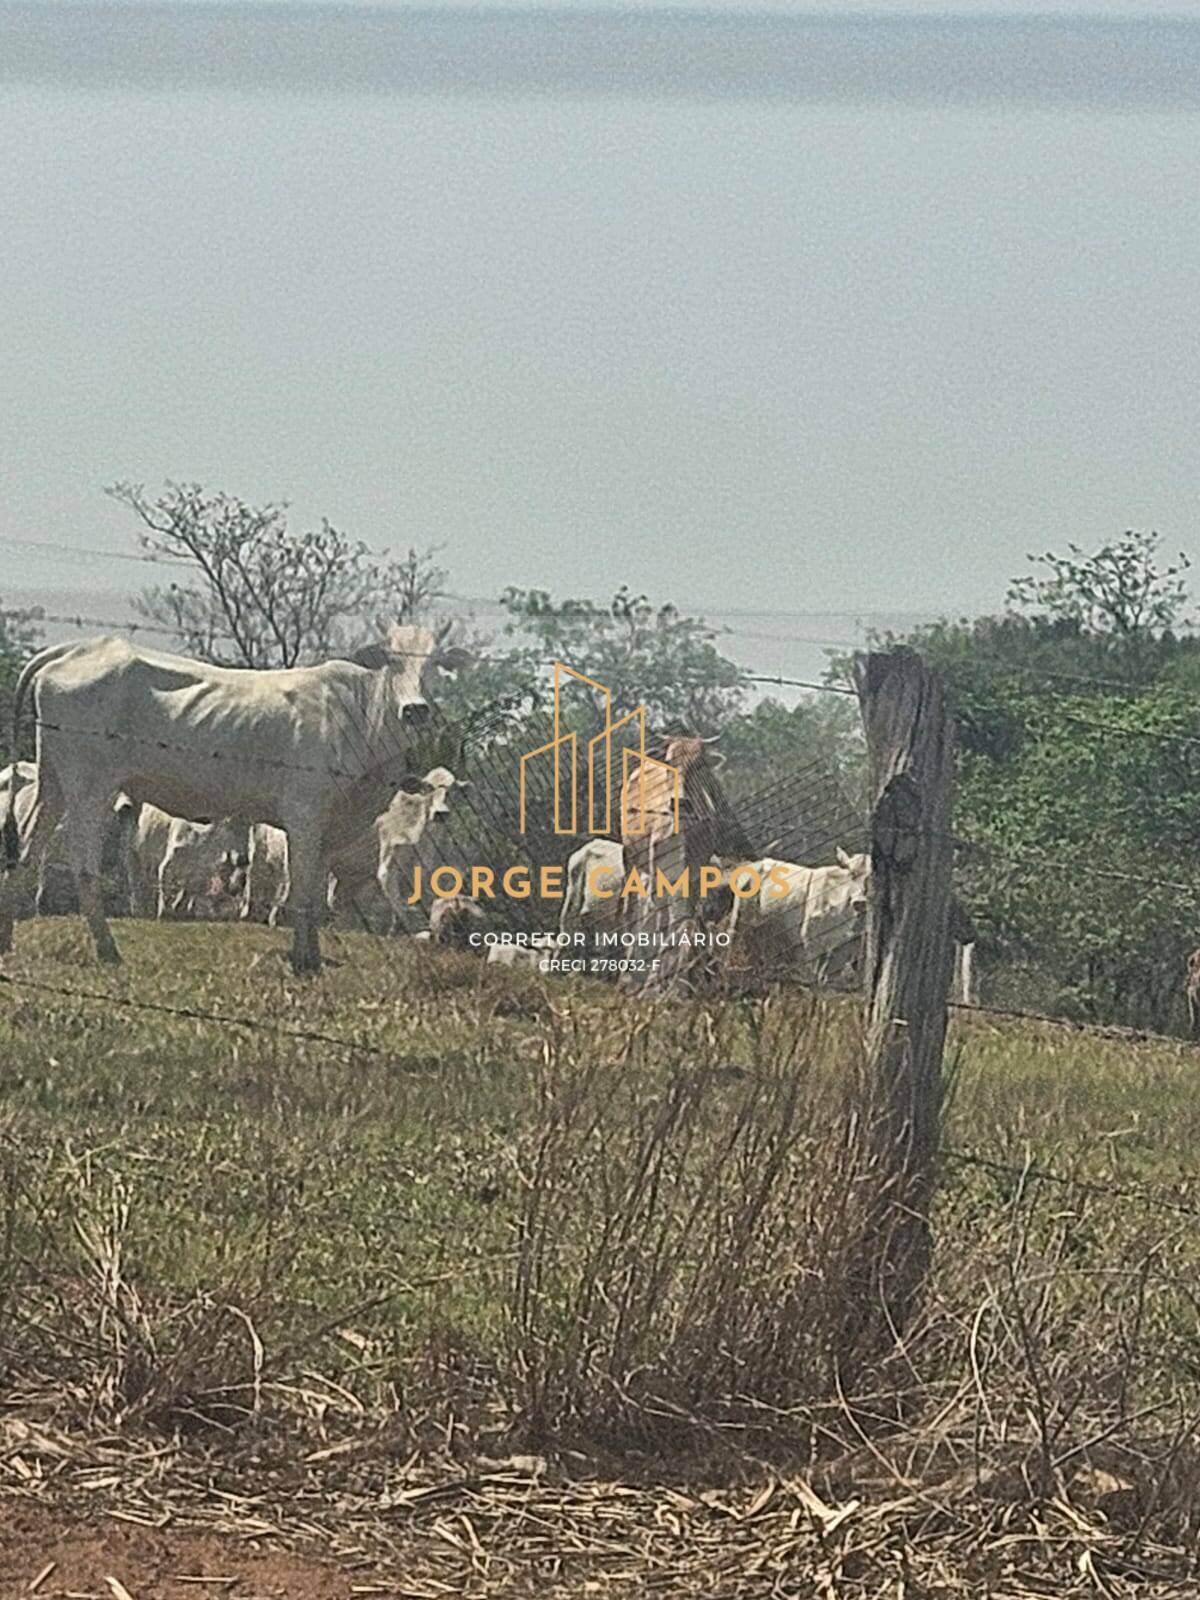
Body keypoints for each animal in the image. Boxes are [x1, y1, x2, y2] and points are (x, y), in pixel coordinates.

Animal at [2, 624, 454, 972]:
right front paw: (302, 961)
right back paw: (107, 949)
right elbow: (301, 891)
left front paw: (311, 956)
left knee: (23, 851)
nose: (415, 709)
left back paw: (8, 939)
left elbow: (314, 893)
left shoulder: (327, 829)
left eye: (434, 664)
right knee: (83, 867)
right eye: (393, 662)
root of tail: (78, 648)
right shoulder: (304, 816)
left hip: (53, 781)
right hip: (89, 787)